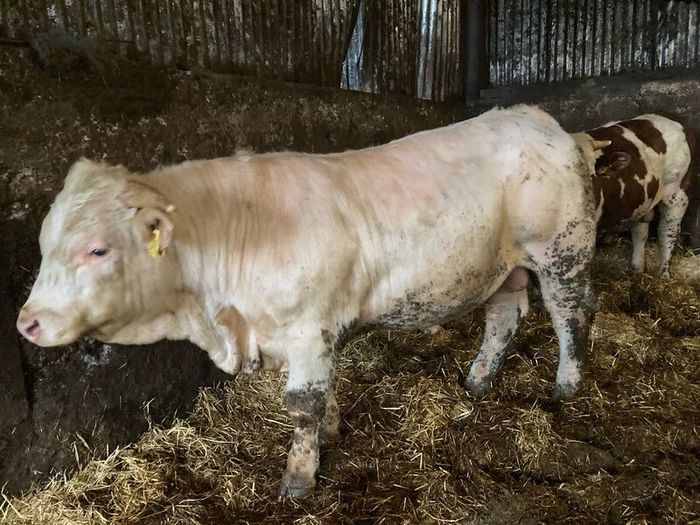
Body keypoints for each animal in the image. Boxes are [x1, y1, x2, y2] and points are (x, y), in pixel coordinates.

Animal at [16, 105, 596, 498]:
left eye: (97, 249)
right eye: (44, 244)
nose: (28, 323)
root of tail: (535, 117)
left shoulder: (308, 326)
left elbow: (301, 404)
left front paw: (298, 478)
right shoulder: (309, 333)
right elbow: (321, 397)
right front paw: (332, 432)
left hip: (563, 253)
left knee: (572, 317)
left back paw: (566, 387)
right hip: (503, 268)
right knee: (503, 317)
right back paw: (477, 381)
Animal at [573, 114, 695, 277]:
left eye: (592, 173)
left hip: (676, 195)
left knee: (667, 232)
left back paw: (663, 274)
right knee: (640, 231)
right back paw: (637, 269)